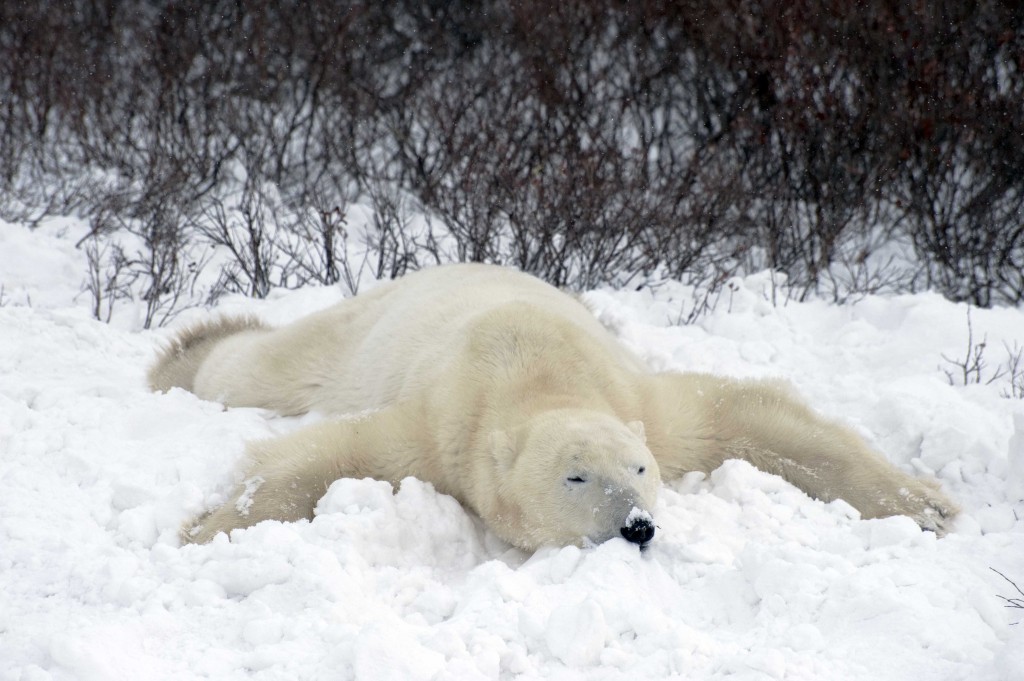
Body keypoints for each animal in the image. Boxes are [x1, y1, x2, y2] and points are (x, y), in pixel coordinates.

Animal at [150, 263, 958, 549]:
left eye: (639, 469)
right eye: (576, 476)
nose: (637, 526)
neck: (536, 371)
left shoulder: (644, 401)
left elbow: (749, 415)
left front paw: (926, 504)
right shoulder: (441, 427)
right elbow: (334, 453)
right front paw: (205, 528)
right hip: (356, 337)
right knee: (264, 368)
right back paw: (187, 350)